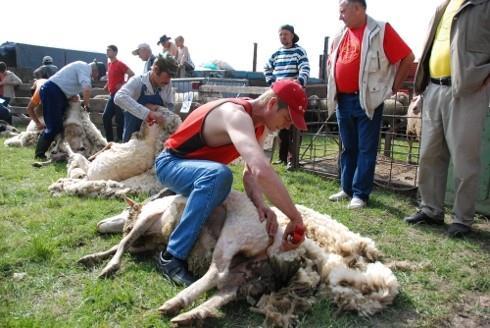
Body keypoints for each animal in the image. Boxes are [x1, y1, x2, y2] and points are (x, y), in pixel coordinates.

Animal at [79, 190, 398, 326]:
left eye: (123, 211)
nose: (98, 225)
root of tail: (289, 249)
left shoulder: (149, 217)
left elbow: (124, 242)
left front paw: (107, 267)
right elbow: (124, 245)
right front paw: (93, 257)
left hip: (232, 237)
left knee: (216, 274)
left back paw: (174, 304)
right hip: (249, 271)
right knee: (225, 291)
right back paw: (188, 314)